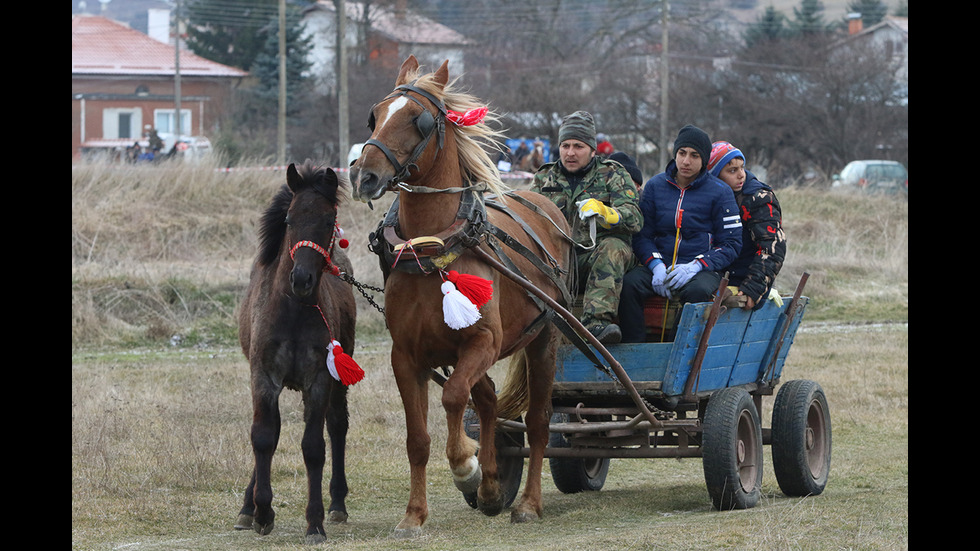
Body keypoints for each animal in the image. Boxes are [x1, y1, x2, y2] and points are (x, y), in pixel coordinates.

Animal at [235, 162, 358, 544]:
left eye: (328, 219)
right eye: (289, 219)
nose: (301, 279)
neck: (292, 310)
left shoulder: (319, 378)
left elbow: (314, 447)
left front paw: (314, 522)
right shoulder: (262, 376)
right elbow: (263, 437)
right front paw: (260, 512)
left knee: (337, 425)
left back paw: (337, 503)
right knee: (270, 431)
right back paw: (248, 507)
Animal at [350, 57, 576, 540]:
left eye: (417, 120)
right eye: (374, 117)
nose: (364, 176)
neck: (432, 247)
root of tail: (546, 205)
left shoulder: (482, 342)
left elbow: (454, 398)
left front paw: (465, 465)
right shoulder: (406, 356)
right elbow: (418, 439)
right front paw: (414, 515)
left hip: (544, 337)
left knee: (538, 421)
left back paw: (526, 501)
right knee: (488, 400)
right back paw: (492, 487)